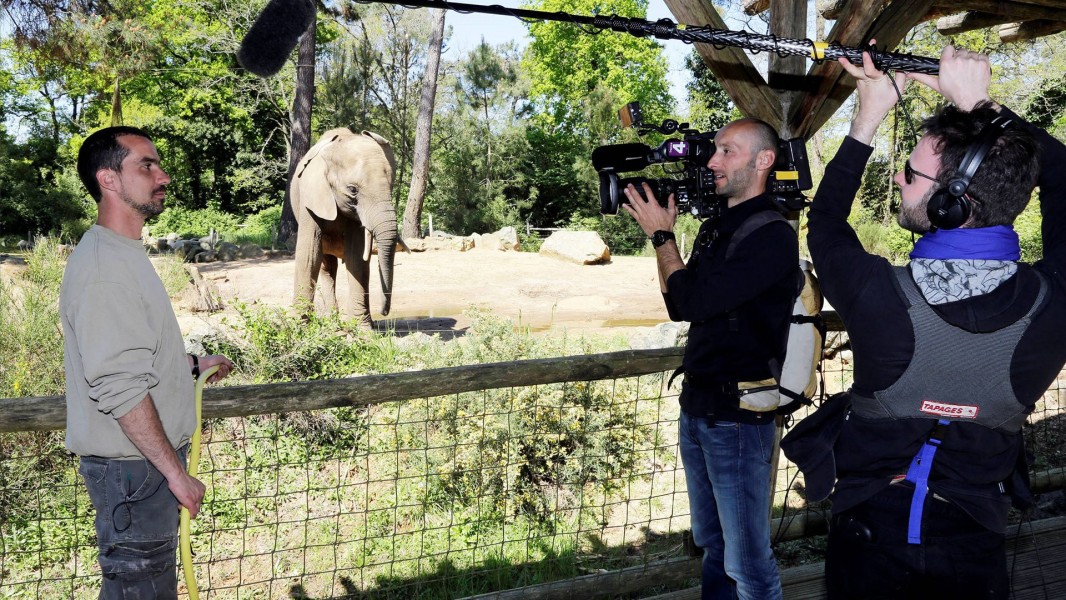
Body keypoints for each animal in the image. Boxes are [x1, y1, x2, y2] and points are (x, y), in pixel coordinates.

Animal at [289, 125, 400, 323]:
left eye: (391, 185)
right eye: (352, 190)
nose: (384, 311)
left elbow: (356, 256)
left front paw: (363, 328)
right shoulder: (310, 199)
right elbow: (309, 254)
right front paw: (298, 324)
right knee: (325, 266)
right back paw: (331, 320)